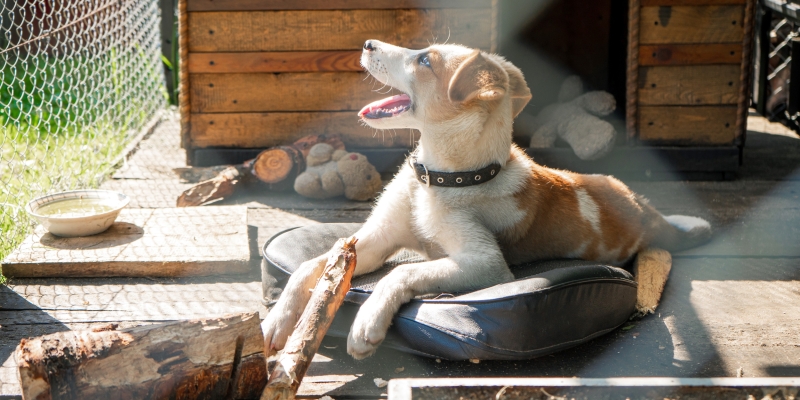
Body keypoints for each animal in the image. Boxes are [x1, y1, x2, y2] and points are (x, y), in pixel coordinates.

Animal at [264, 39, 712, 360]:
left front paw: (367, 324)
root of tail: (643, 211)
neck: (438, 179)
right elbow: (311, 266)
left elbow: (401, 272)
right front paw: (275, 321)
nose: (368, 44)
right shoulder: (373, 240)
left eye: (425, 60)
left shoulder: (484, 262)